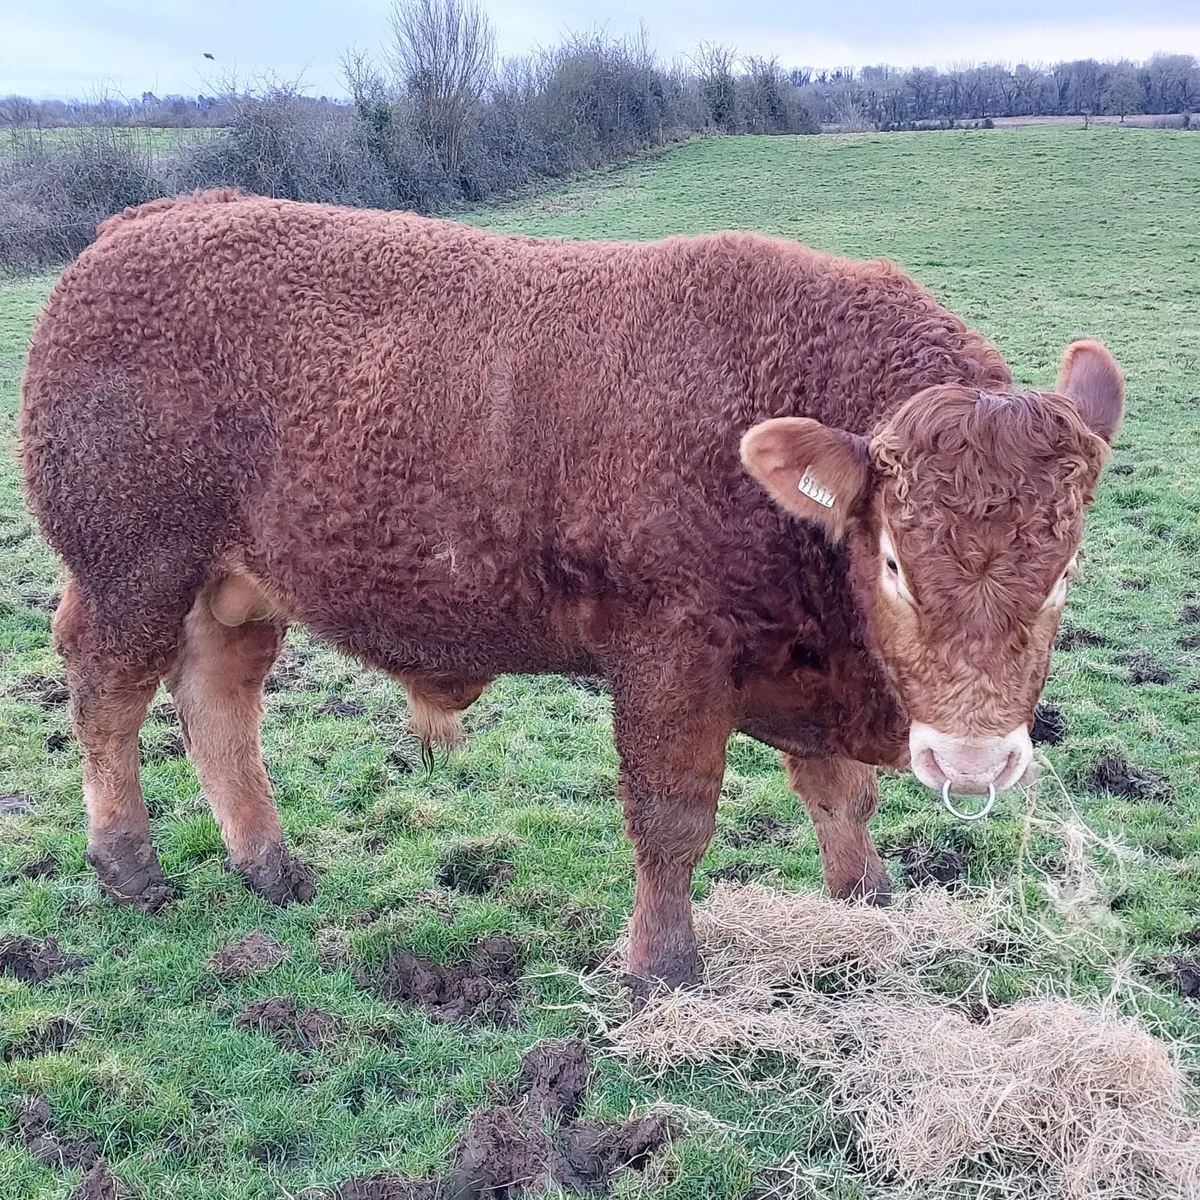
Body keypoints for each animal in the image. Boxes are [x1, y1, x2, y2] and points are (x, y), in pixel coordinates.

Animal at [19, 190, 1123, 992]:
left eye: (1065, 568)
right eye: (893, 560)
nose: (974, 759)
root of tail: (145, 222)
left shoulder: (802, 665)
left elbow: (839, 794)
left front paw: (868, 899)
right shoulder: (670, 658)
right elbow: (673, 818)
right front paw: (663, 968)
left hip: (236, 587)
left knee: (218, 698)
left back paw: (269, 866)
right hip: (130, 569)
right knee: (108, 694)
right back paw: (130, 867)